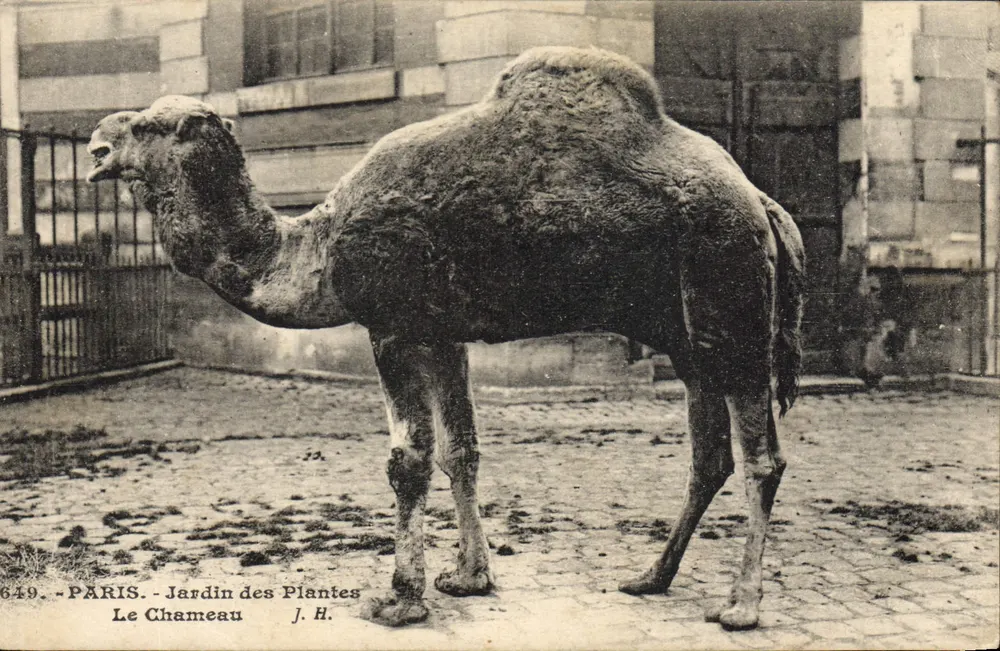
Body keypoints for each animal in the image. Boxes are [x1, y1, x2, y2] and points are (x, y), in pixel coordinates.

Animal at [86, 46, 805, 631]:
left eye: (147, 125)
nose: (96, 141)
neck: (314, 247)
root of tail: (765, 205)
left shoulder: (393, 326)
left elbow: (407, 460)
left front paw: (400, 598)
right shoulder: (442, 334)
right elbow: (462, 449)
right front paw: (468, 576)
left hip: (731, 303)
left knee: (760, 459)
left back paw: (741, 606)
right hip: (690, 338)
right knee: (708, 457)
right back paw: (650, 577)